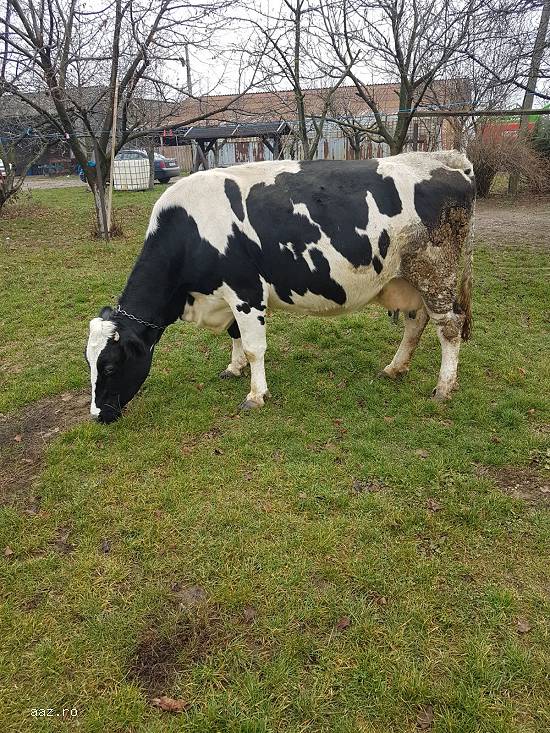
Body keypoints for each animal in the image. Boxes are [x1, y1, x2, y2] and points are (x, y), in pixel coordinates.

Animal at [86, 150, 475, 424]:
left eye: (109, 367)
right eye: (88, 362)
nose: (98, 415)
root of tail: (445, 159)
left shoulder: (245, 292)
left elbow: (255, 347)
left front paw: (256, 395)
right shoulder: (228, 297)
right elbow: (235, 336)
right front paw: (234, 368)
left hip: (435, 271)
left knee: (450, 328)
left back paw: (444, 388)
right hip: (407, 279)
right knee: (415, 322)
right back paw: (395, 368)